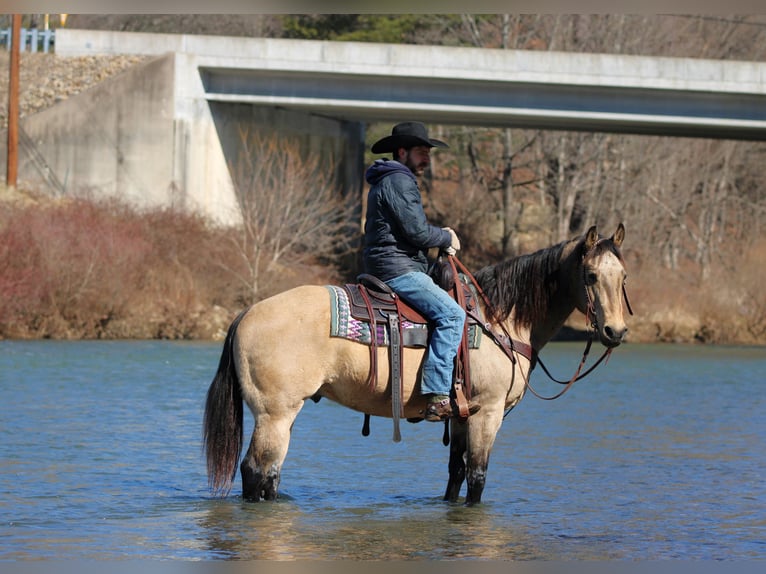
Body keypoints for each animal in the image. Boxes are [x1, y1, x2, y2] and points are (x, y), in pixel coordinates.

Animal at [203, 223, 630, 504]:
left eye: (623, 276)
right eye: (591, 275)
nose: (616, 331)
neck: (500, 321)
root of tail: (246, 313)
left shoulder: (462, 415)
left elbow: (456, 475)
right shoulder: (488, 413)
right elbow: (477, 477)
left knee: (267, 475)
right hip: (275, 414)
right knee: (257, 471)